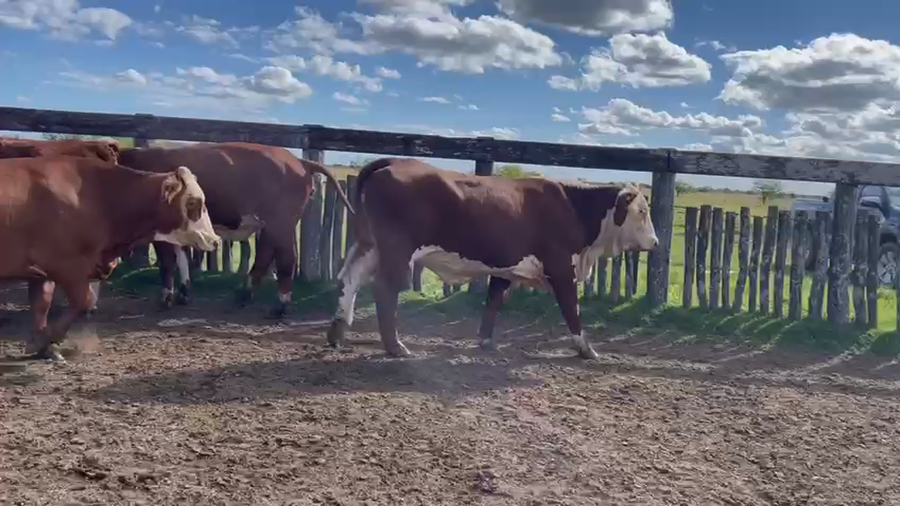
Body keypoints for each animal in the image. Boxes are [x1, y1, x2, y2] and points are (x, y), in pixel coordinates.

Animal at [0, 155, 221, 361]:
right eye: (193, 202)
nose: (214, 240)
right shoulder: (66, 264)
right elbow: (84, 301)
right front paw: (48, 340)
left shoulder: (42, 270)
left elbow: (41, 305)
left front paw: (43, 345)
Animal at [116, 142, 354, 318]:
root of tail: (298, 161)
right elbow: (181, 257)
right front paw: (183, 294)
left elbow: (167, 263)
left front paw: (165, 298)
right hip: (272, 225)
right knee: (265, 255)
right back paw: (244, 294)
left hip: (281, 223)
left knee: (287, 258)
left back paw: (279, 306)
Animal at [324, 158, 659, 359]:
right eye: (642, 211)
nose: (655, 242)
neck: (571, 206)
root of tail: (393, 161)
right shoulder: (562, 269)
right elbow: (572, 310)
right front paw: (586, 349)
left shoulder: (504, 267)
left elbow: (493, 301)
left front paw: (486, 341)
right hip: (397, 249)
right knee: (385, 289)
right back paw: (395, 347)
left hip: (368, 245)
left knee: (349, 279)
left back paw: (338, 332)